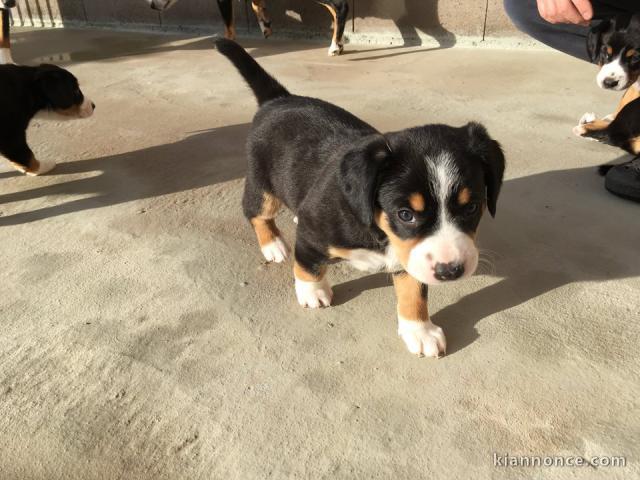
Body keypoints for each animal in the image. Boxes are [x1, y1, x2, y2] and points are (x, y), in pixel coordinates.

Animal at [146, 0, 350, 56]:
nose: (150, 5)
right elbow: (255, 4)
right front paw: (265, 25)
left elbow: (228, 24)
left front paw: (227, 44)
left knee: (340, 7)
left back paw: (335, 45)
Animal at [215, 40, 504, 356]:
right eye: (405, 214)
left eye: (472, 207)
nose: (450, 270)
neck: (376, 227)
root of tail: (279, 100)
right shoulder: (313, 232)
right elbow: (307, 263)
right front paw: (312, 291)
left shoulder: (407, 254)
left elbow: (414, 291)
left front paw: (419, 330)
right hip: (263, 186)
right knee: (255, 212)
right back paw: (274, 245)